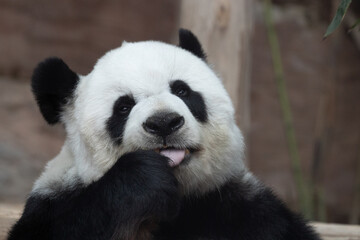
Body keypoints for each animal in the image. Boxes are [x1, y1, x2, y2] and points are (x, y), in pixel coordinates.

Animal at [7, 29, 320, 239]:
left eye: (182, 90)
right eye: (123, 107)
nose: (164, 123)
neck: (179, 200)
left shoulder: (237, 208)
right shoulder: (56, 204)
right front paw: (143, 178)